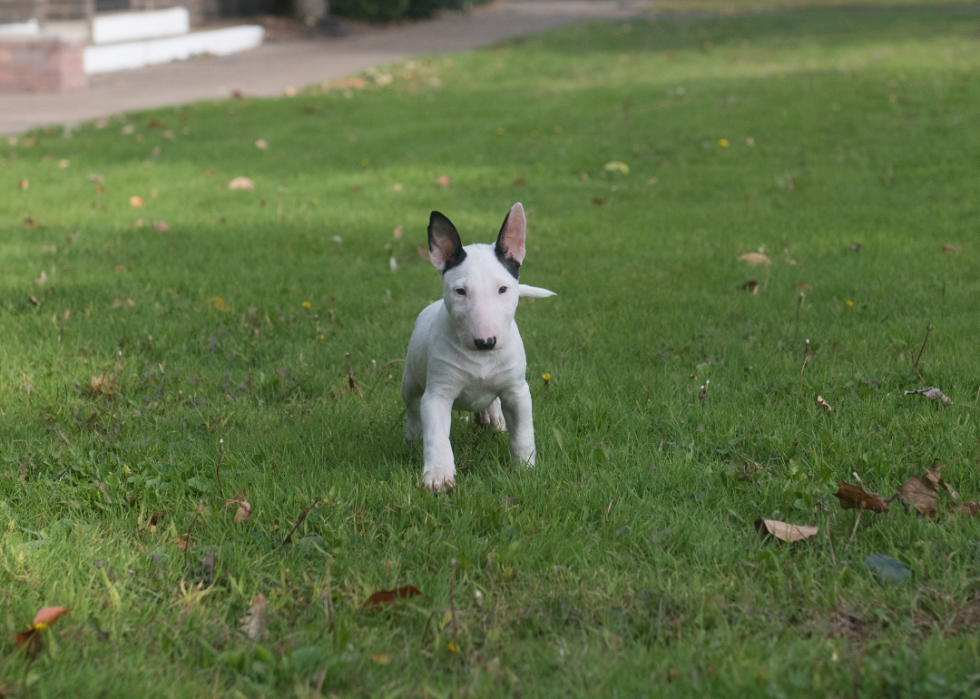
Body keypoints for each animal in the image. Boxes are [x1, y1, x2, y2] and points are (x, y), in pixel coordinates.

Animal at [400, 202, 556, 492]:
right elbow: (437, 437)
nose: (486, 342)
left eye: (503, 289)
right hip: (410, 381)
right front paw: (438, 476)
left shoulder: (517, 390)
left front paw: (526, 469)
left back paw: (494, 417)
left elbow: (523, 433)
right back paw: (413, 436)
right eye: (460, 291)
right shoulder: (437, 394)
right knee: (413, 408)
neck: (481, 359)